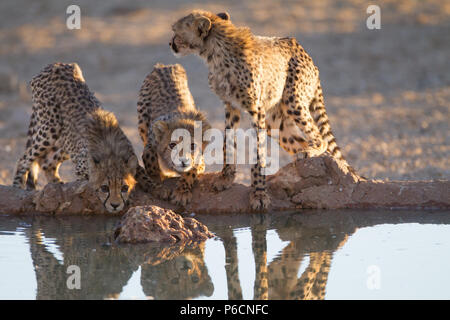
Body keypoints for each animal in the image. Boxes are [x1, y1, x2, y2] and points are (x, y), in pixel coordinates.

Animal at [12, 62, 162, 212]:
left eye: (124, 188)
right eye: (105, 188)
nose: (115, 205)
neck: (111, 153)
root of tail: (56, 64)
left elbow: (142, 174)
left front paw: (156, 189)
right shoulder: (81, 168)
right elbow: (86, 180)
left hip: (65, 141)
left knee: (48, 164)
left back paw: (58, 186)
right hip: (51, 128)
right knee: (25, 158)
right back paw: (17, 187)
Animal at [137, 63, 211, 206]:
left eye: (192, 146)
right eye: (172, 145)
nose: (183, 161)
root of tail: (165, 65)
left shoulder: (200, 161)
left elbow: (191, 171)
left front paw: (181, 192)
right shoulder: (151, 142)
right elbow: (150, 159)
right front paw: (158, 185)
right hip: (142, 122)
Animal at [169, 10, 352, 210]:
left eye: (176, 32)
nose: (170, 44)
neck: (215, 53)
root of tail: (302, 50)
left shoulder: (256, 110)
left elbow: (259, 153)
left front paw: (259, 193)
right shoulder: (231, 106)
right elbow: (227, 142)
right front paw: (225, 178)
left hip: (293, 101)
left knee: (320, 139)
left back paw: (310, 152)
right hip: (275, 122)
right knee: (300, 142)